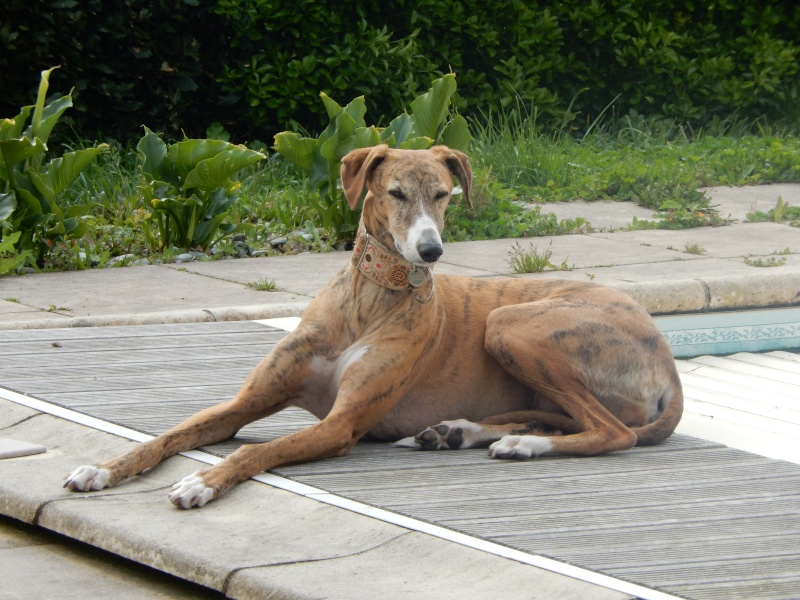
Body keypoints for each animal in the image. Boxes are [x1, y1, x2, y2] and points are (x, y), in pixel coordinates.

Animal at [65, 144, 684, 506]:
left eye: (443, 194)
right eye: (396, 193)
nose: (431, 252)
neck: (369, 299)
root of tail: (668, 361)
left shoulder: (342, 425)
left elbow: (255, 452)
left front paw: (202, 481)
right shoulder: (245, 402)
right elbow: (167, 435)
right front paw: (101, 468)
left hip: (512, 324)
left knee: (614, 431)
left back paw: (520, 445)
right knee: (562, 417)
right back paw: (462, 432)